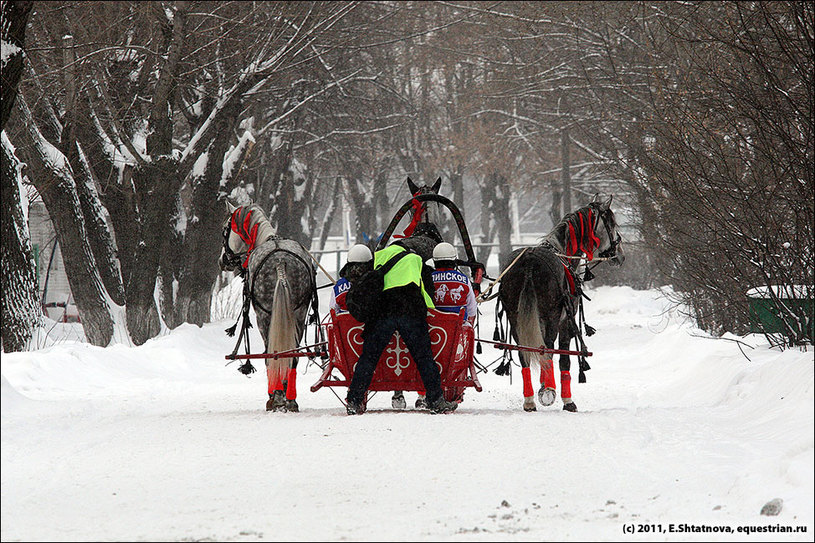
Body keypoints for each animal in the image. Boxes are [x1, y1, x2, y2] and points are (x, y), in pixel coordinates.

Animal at [222, 203, 318, 412]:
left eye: (225, 230)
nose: (222, 260)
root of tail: (280, 261)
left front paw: (273, 396)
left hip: (265, 316)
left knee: (271, 355)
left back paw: (278, 397)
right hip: (298, 313)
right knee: (292, 355)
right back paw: (290, 399)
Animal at [498, 196, 624, 412]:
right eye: (612, 223)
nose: (620, 254)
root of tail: (529, 260)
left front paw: (543, 385)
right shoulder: (566, 322)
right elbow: (564, 359)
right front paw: (563, 398)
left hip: (515, 317)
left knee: (525, 353)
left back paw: (529, 399)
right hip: (551, 317)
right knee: (548, 350)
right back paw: (548, 391)